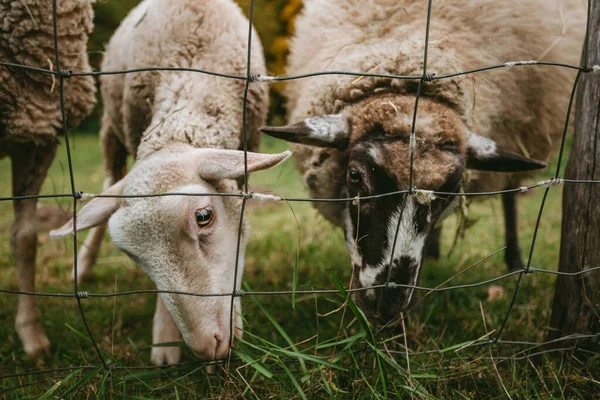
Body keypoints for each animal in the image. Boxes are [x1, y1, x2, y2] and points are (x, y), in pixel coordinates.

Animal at [50, 0, 290, 366]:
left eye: (204, 217)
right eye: (131, 254)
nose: (206, 346)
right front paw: (165, 340)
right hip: (111, 128)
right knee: (108, 181)